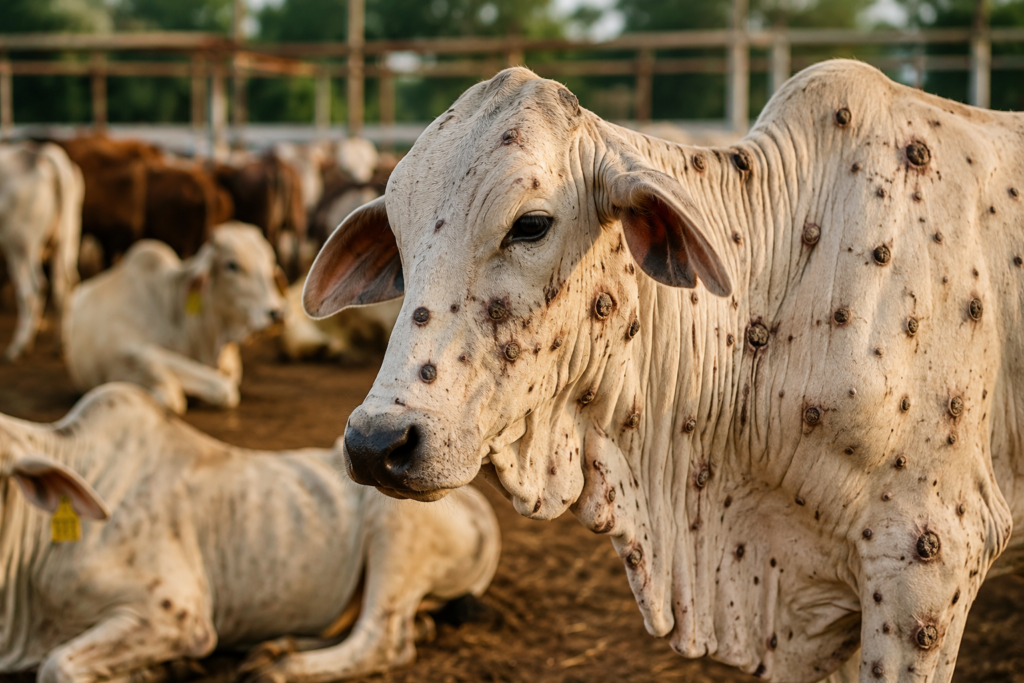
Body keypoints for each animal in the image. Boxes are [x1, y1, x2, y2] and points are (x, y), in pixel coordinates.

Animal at [0, 141, 83, 360]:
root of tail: (42, 151)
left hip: (21, 244)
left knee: (33, 288)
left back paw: (18, 346)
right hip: (66, 239)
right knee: (64, 283)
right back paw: (60, 344)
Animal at [0, 382, 500, 683]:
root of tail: (479, 506)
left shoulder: (178, 613)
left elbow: (57, 665)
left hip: (396, 527)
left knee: (381, 642)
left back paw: (280, 668)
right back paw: (271, 648)